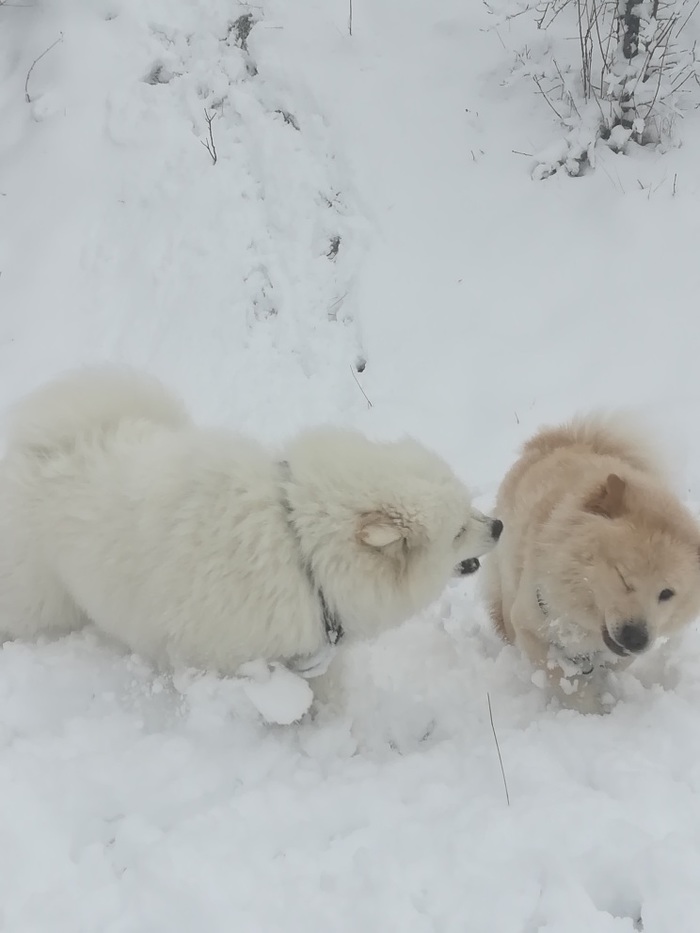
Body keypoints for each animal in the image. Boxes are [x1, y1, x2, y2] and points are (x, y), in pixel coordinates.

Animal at [0, 368, 504, 688]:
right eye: (458, 531)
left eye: (470, 509)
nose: (499, 525)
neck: (300, 546)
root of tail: (44, 445)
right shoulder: (221, 657)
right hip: (35, 597)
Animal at [482, 416, 700, 712]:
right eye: (623, 577)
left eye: (667, 593)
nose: (635, 638)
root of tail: (567, 439)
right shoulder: (530, 625)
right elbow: (563, 680)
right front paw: (591, 710)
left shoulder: (623, 651)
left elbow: (614, 663)